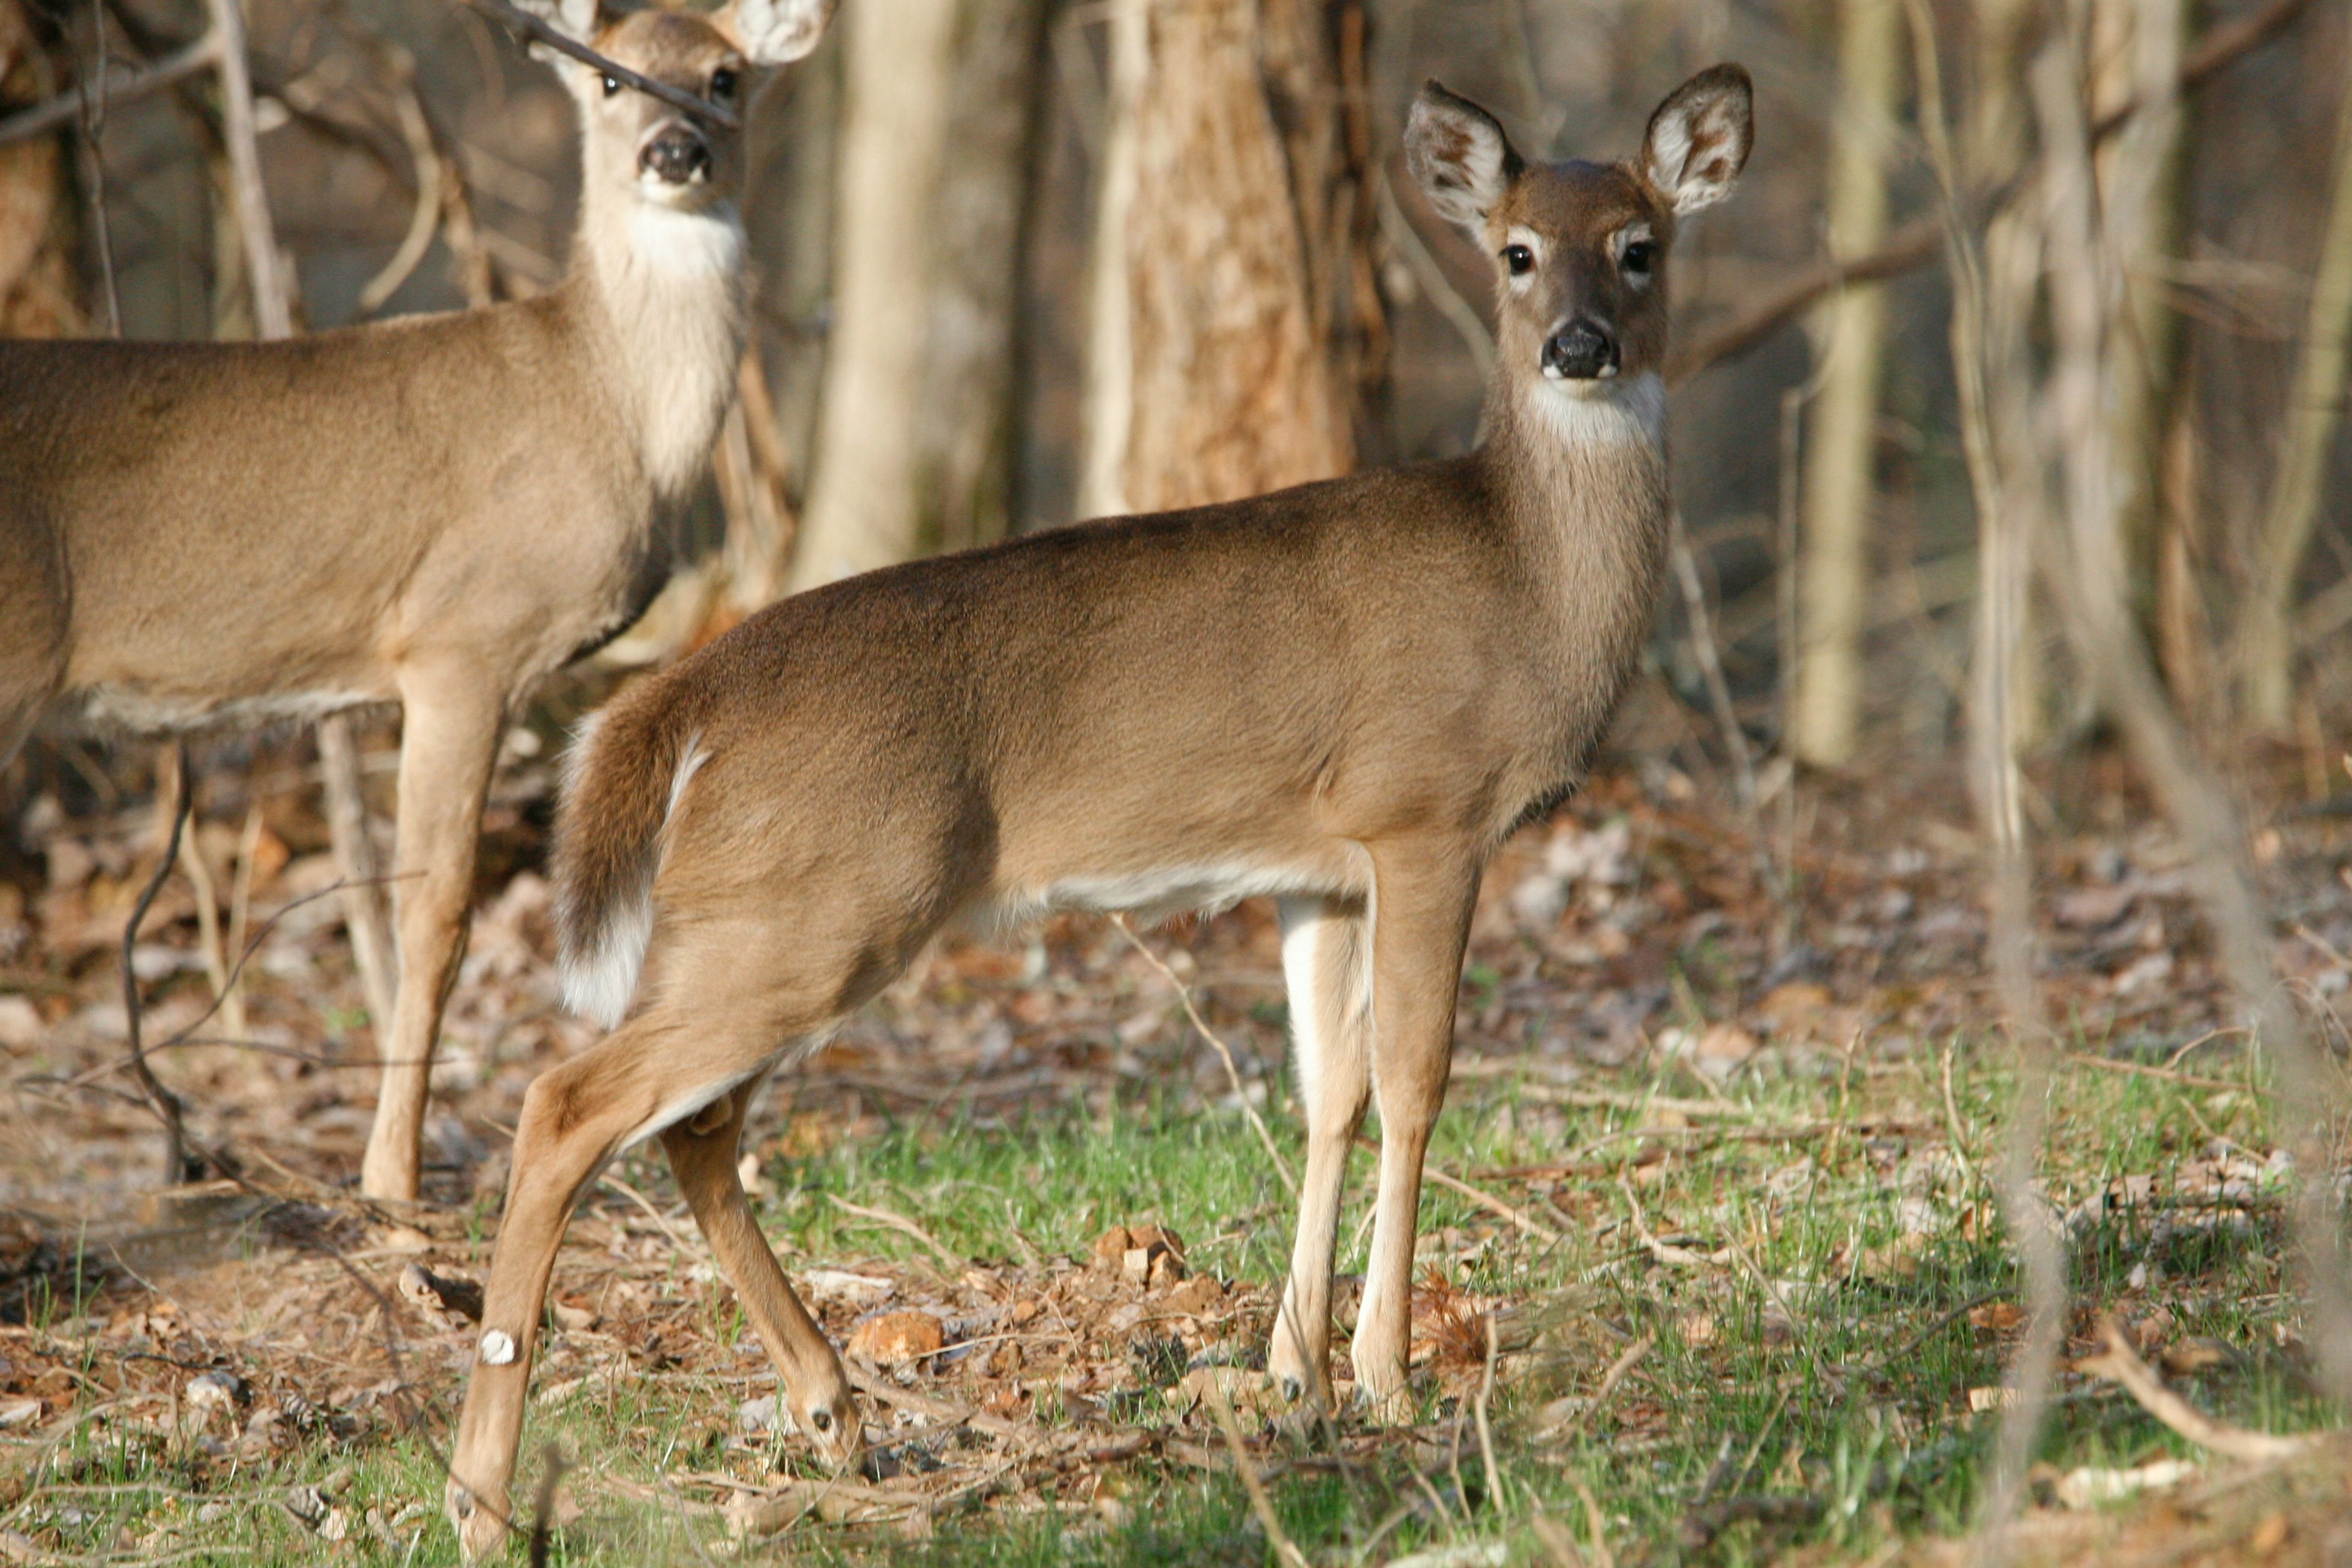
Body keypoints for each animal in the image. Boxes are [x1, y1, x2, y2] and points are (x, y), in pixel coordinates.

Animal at [0, 0, 834, 1203]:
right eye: (611, 80)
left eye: (725, 77)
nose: (675, 152)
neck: (607, 405)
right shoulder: (461, 638)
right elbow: (435, 914)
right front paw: (390, 1177)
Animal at [443, 63, 1753, 1556]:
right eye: (1517, 252)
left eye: (1640, 245)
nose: (1581, 347)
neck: (1527, 583)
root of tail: (683, 694)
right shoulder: (1427, 808)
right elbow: (1417, 1081)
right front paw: (1387, 1377)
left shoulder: (1321, 865)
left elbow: (1330, 1089)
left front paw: (1292, 1373)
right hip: (819, 907)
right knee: (570, 1101)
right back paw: (484, 1495)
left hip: (764, 913)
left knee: (692, 1129)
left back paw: (835, 1418)